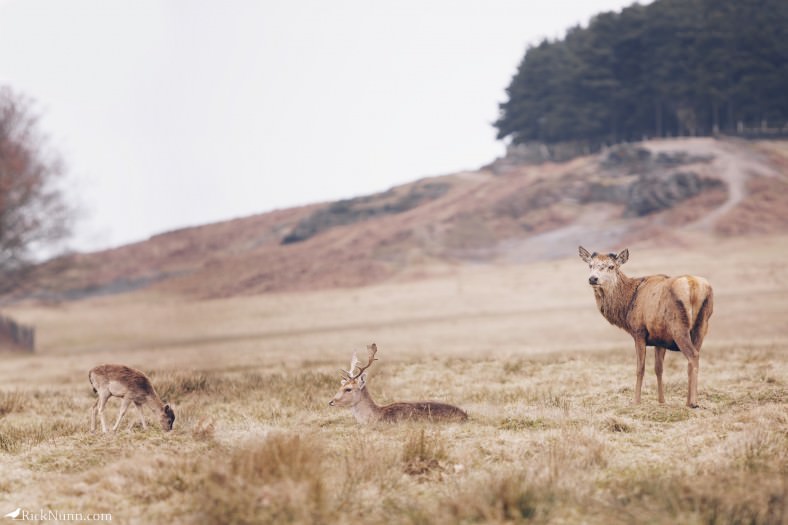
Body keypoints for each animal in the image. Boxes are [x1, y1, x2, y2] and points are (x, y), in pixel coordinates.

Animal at [578, 247, 713, 408]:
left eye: (611, 266)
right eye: (590, 265)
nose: (593, 279)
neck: (627, 306)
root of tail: (694, 287)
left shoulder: (639, 332)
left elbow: (640, 368)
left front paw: (636, 401)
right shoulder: (660, 338)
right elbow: (658, 368)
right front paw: (661, 400)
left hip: (678, 326)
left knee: (693, 355)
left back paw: (692, 402)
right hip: (702, 325)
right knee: (695, 357)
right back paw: (689, 400)